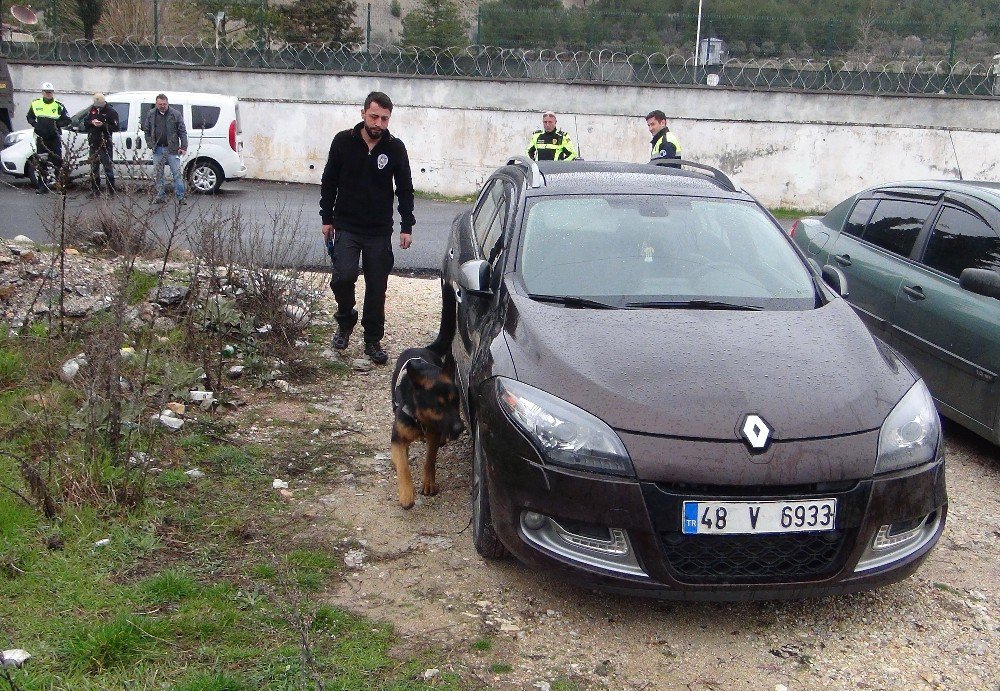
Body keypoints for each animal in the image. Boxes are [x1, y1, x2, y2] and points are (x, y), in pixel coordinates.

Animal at [392, 344, 466, 510]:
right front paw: (406, 494)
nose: (460, 428)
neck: (420, 418)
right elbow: (403, 466)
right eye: (438, 407)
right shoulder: (397, 440)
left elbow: (430, 460)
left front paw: (428, 483)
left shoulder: (433, 435)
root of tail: (420, 348)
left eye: (455, 402)